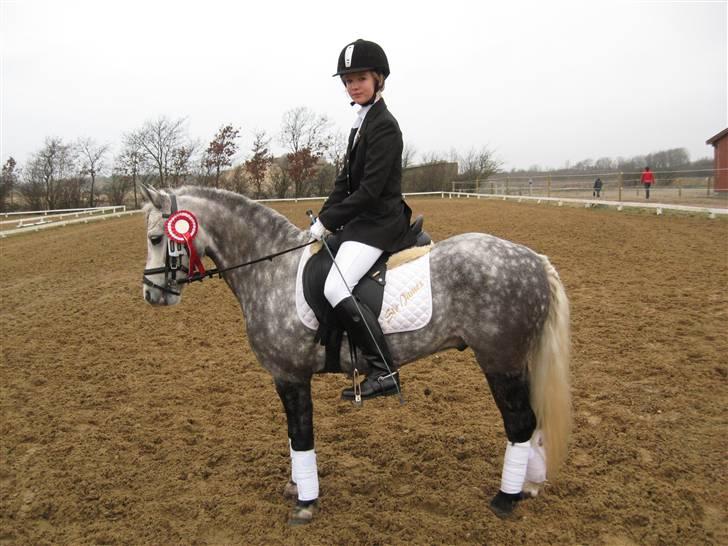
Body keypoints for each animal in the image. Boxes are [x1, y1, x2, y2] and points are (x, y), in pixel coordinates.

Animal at [141, 186, 576, 524]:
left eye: (155, 238)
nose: (151, 294)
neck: (272, 269)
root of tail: (535, 261)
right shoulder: (286, 377)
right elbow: (293, 435)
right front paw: (296, 488)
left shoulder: (290, 375)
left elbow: (301, 435)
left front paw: (306, 502)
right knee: (531, 422)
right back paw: (529, 486)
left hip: (500, 361)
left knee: (520, 423)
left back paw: (506, 499)